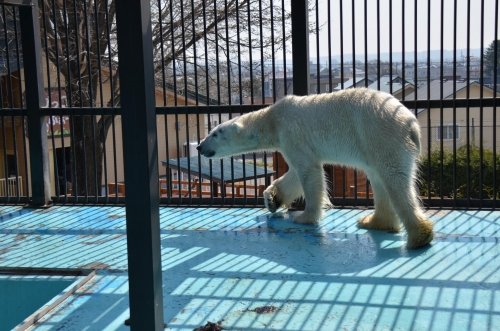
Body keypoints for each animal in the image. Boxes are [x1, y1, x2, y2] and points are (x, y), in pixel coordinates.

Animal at [198, 88, 434, 249]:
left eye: (215, 133)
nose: (200, 146)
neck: (273, 119)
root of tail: (411, 123)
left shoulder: (292, 132)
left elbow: (308, 172)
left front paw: (304, 217)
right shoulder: (290, 142)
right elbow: (294, 175)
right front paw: (273, 199)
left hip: (381, 135)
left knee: (394, 180)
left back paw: (418, 237)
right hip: (374, 144)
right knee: (378, 179)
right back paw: (374, 222)